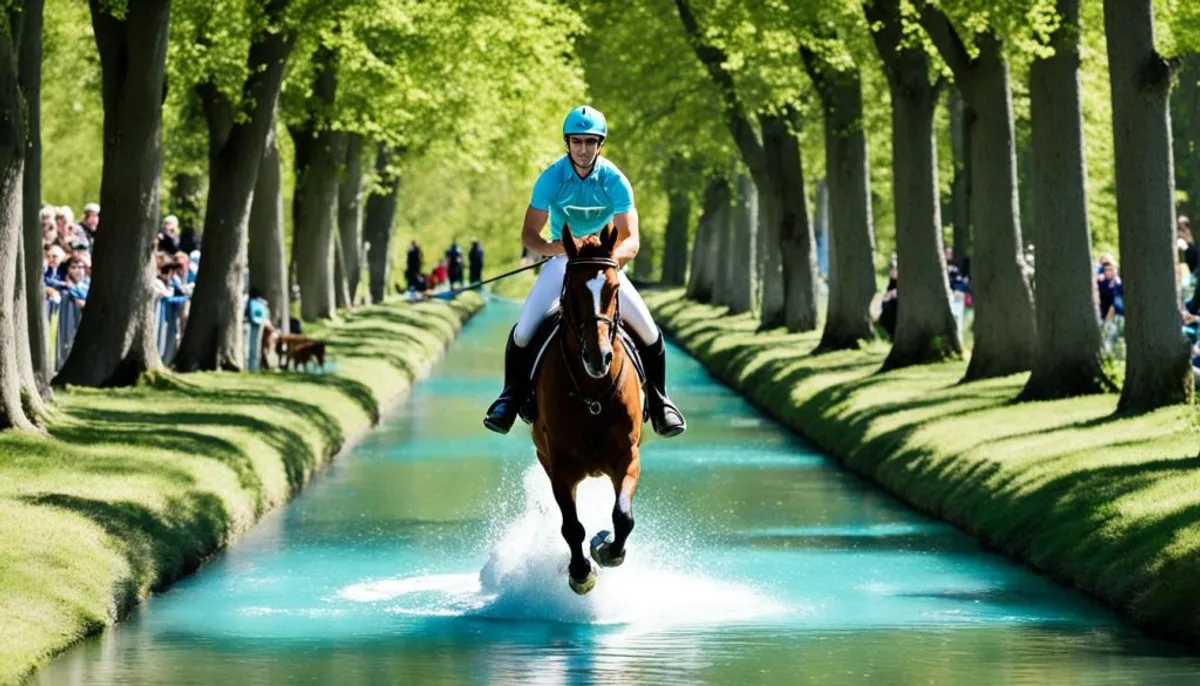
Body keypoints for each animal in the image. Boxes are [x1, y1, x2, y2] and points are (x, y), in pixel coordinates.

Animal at [535, 224, 648, 594]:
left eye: (614, 288)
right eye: (572, 291)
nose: (598, 358)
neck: (593, 393)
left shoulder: (627, 456)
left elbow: (623, 517)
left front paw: (606, 549)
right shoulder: (560, 466)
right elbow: (571, 525)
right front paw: (581, 572)